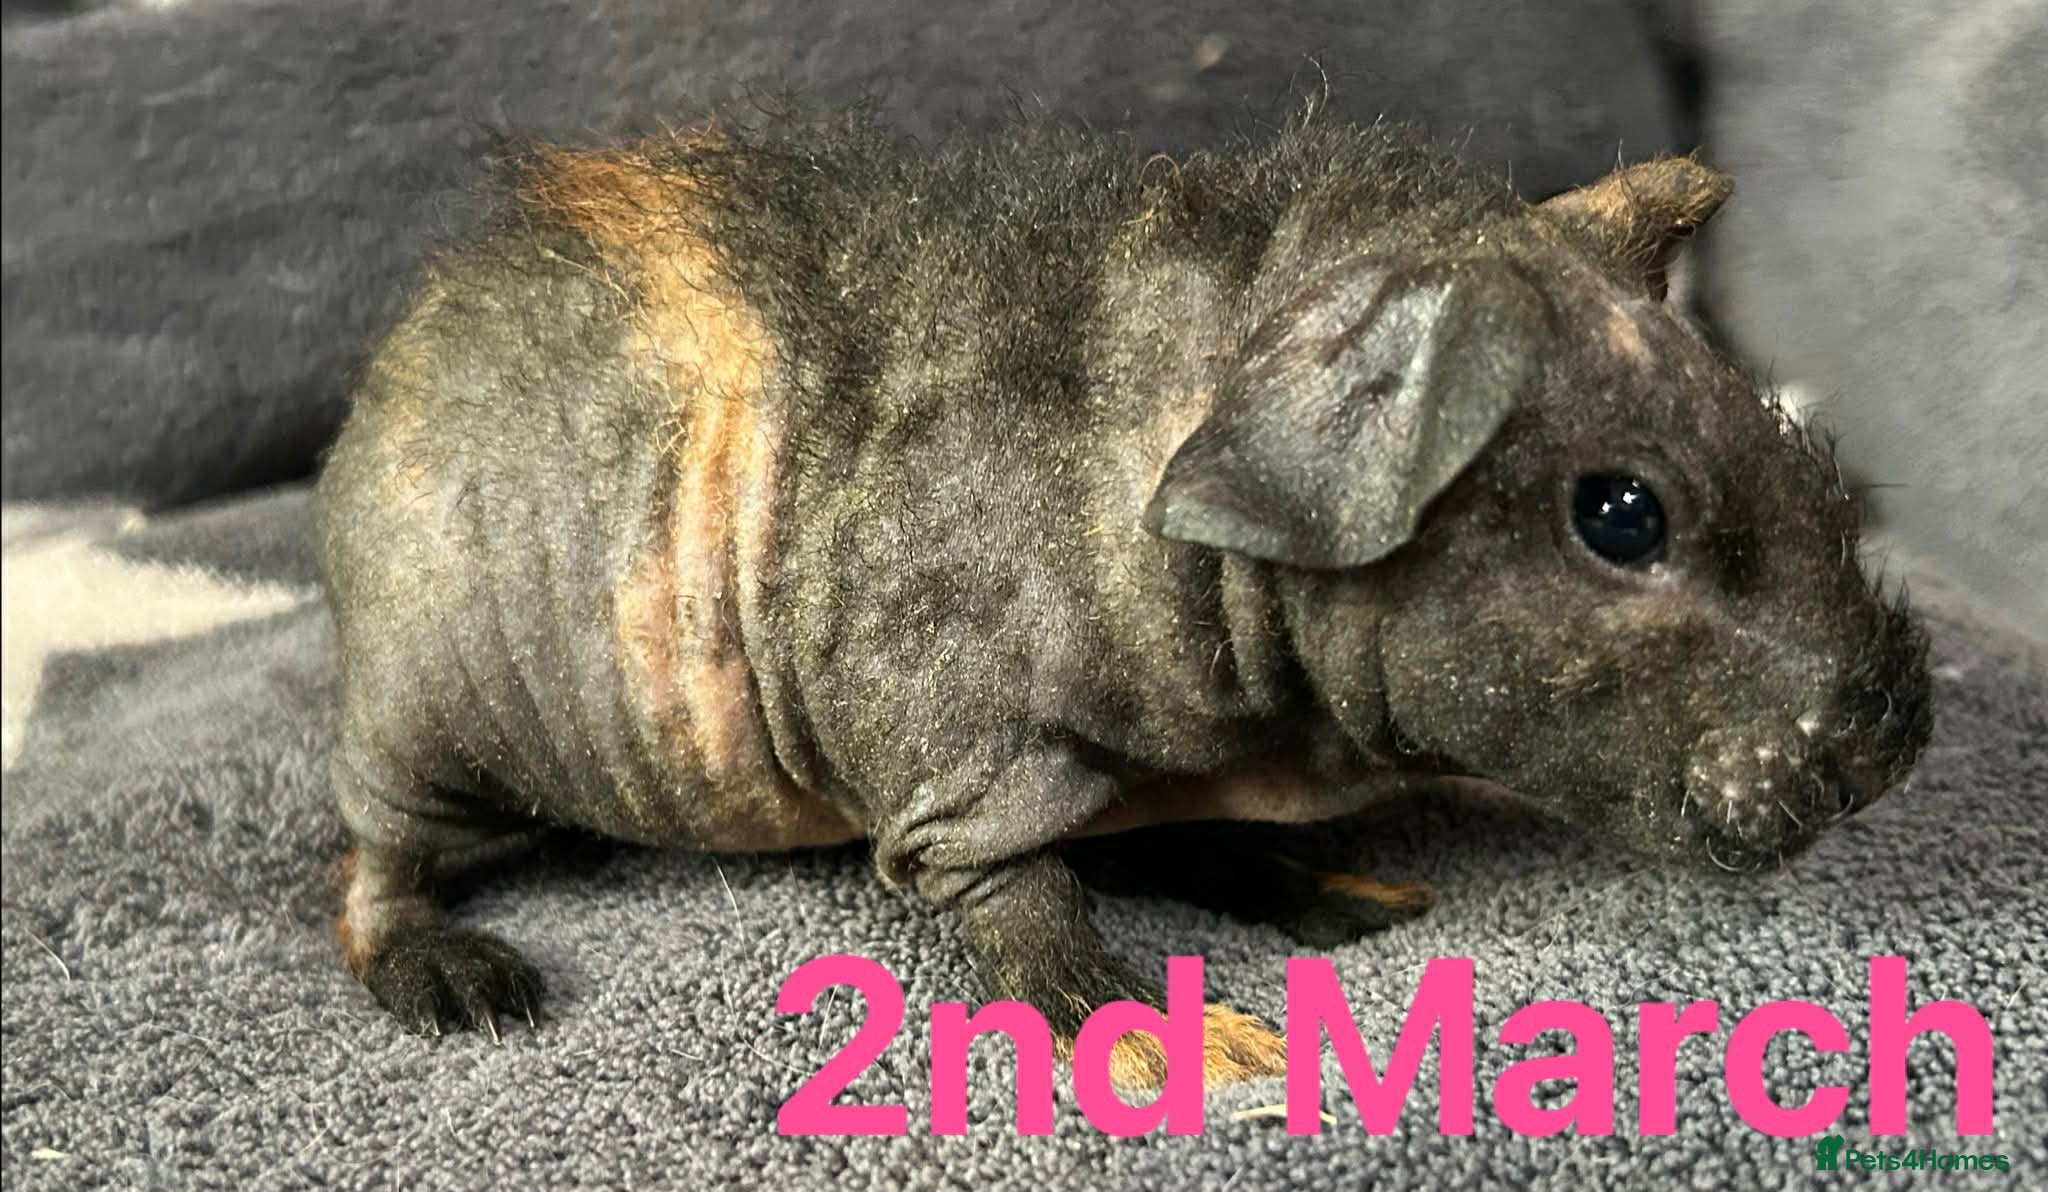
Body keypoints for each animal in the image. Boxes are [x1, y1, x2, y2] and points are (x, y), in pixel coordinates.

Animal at [314, 116, 1932, 1084]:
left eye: (1785, 430)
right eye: (1620, 515)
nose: (1891, 739)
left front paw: (1341, 894)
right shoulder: (958, 778)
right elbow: (1024, 907)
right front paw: (1204, 1055)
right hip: (418, 738)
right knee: (373, 877)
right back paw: (465, 984)